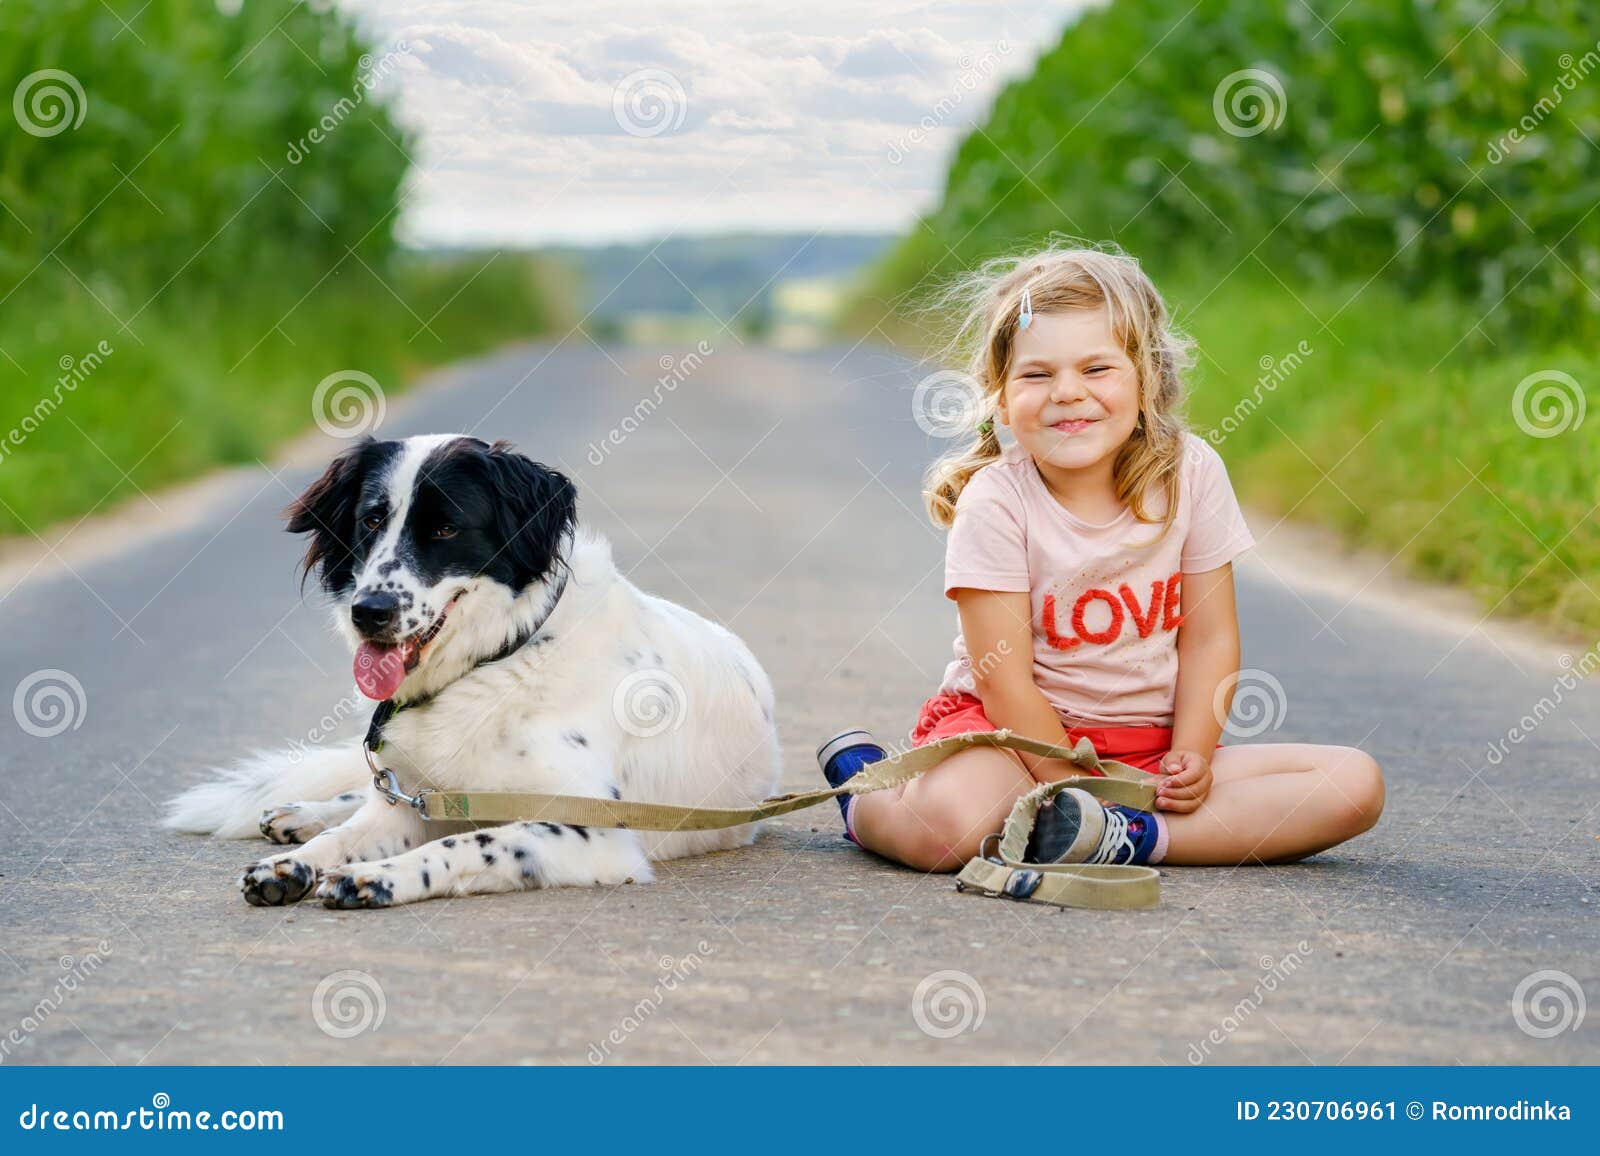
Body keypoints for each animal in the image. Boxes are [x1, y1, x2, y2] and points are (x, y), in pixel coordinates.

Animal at [164, 435, 780, 909]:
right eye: (371, 521)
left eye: (444, 529)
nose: (369, 612)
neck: (499, 658)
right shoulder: (411, 806)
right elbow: (346, 833)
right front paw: (295, 862)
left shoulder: (594, 832)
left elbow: (466, 844)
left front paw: (375, 878)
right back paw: (297, 815)